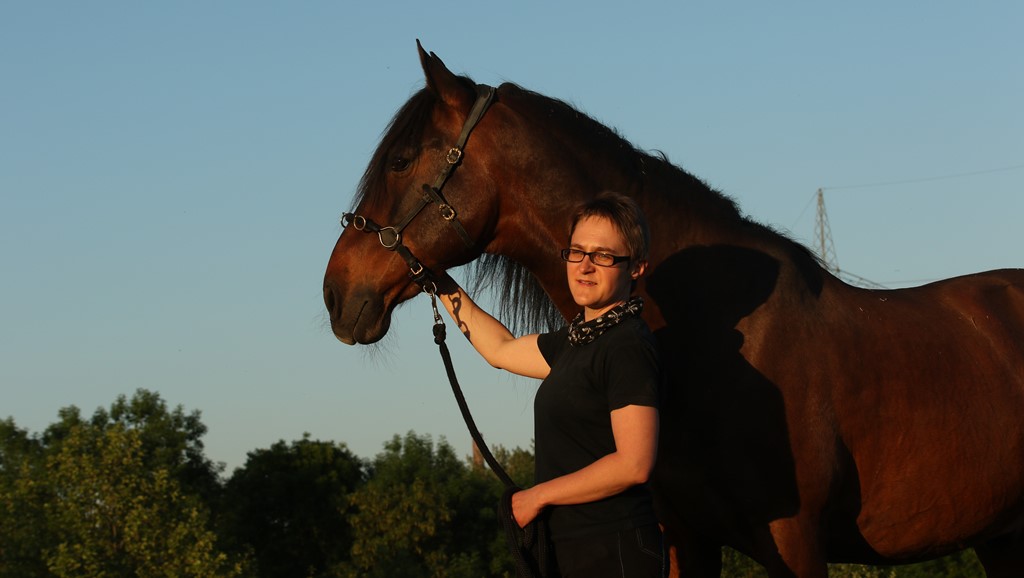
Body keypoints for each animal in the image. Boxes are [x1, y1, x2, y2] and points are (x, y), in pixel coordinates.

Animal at [323, 42, 1024, 573]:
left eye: (401, 160)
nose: (335, 293)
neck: (709, 335)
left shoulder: (798, 543)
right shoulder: (684, 539)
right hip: (999, 538)